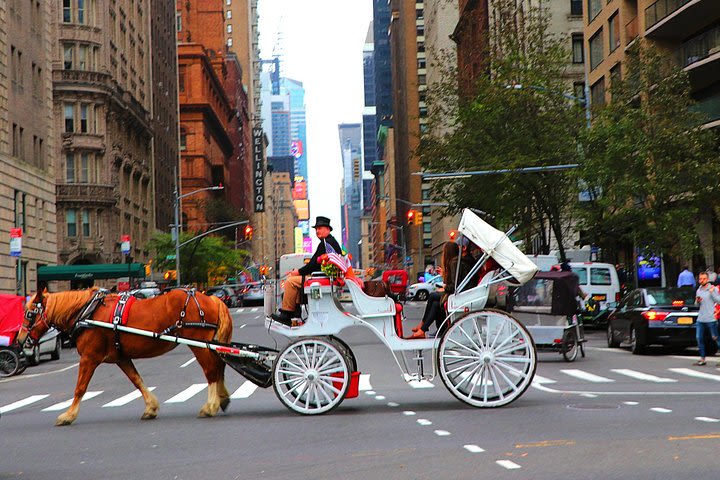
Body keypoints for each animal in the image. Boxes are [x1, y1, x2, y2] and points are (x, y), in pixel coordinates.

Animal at [18, 286, 233, 426]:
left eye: (29, 314)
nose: (19, 340)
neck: (87, 313)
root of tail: (211, 299)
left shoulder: (88, 358)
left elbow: (80, 388)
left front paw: (68, 416)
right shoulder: (121, 358)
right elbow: (137, 380)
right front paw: (151, 408)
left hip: (199, 344)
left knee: (211, 370)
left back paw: (210, 406)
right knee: (219, 366)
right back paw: (222, 399)